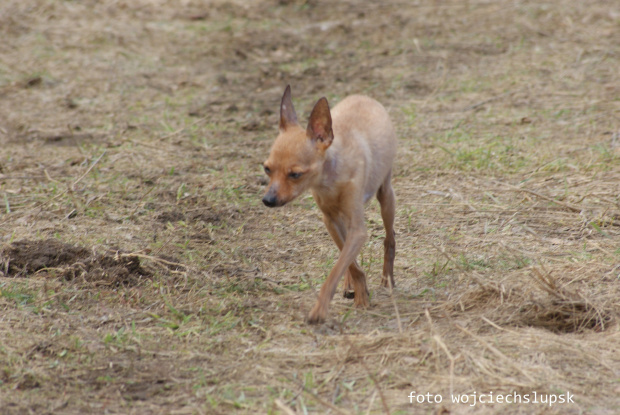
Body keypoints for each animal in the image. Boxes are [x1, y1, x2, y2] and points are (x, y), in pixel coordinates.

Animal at [262, 85, 398, 324]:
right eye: (267, 169)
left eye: (295, 174)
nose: (268, 200)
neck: (330, 181)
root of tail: (363, 96)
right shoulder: (331, 222)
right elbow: (349, 263)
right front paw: (360, 291)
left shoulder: (358, 230)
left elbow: (337, 269)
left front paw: (321, 309)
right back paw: (350, 284)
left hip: (386, 197)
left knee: (389, 239)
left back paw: (387, 278)